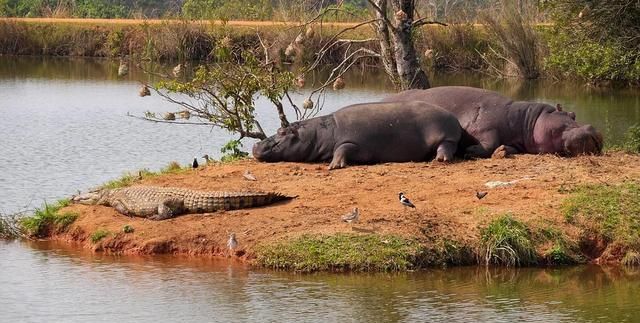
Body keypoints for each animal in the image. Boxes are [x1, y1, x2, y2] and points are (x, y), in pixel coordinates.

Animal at [252, 101, 462, 170]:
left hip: (446, 135)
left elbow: (342, 148)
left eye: (282, 132)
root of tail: (453, 117)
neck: (320, 134)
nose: (254, 146)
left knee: (446, 146)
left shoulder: (356, 143)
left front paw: (334, 166)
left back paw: (440, 159)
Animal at [382, 85, 604, 158]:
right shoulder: (485, 126)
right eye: (570, 115)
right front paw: (470, 151)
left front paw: (504, 151)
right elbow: (489, 142)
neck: (527, 120)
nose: (595, 130)